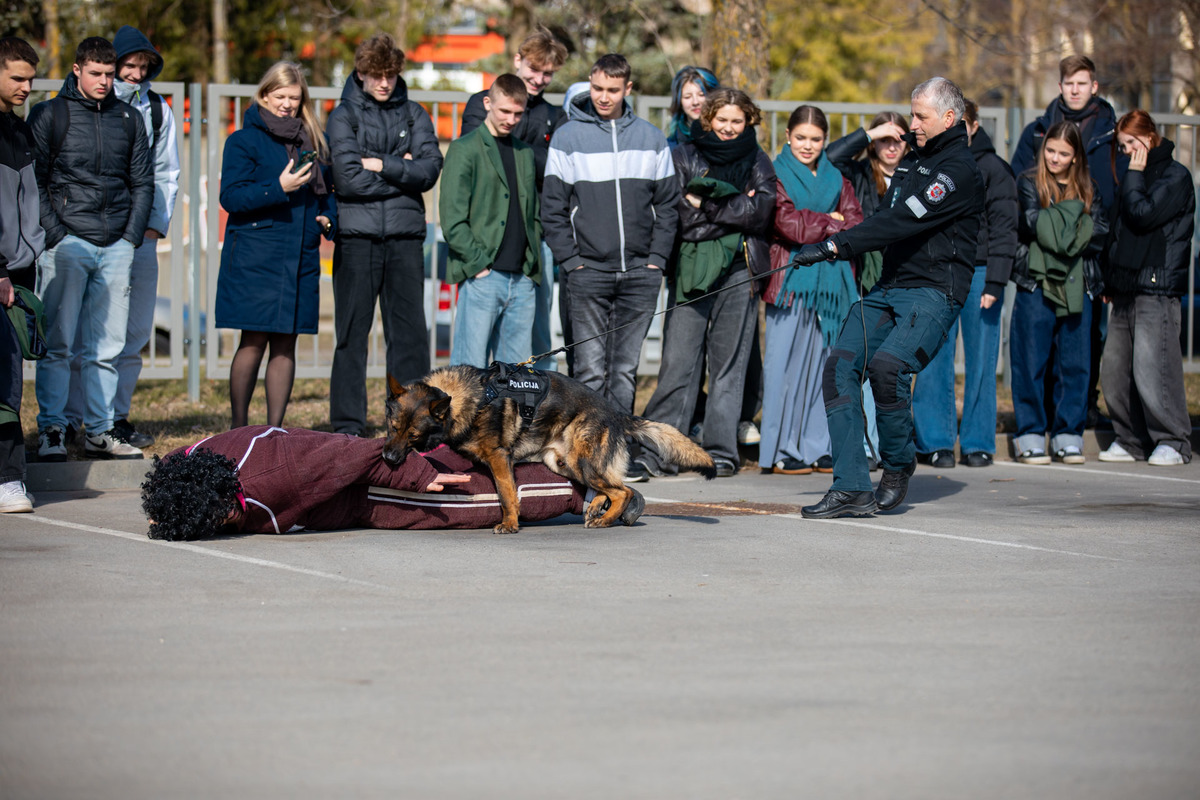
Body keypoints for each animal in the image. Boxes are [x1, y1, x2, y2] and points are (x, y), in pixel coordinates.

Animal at [381, 367, 710, 534]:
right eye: (391, 426)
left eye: (414, 434)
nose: (388, 458)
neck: (469, 399)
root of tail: (618, 413)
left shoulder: (499, 458)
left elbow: (507, 494)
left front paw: (510, 524)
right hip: (564, 463)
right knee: (609, 487)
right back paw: (595, 509)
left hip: (581, 461)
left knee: (622, 491)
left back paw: (605, 519)